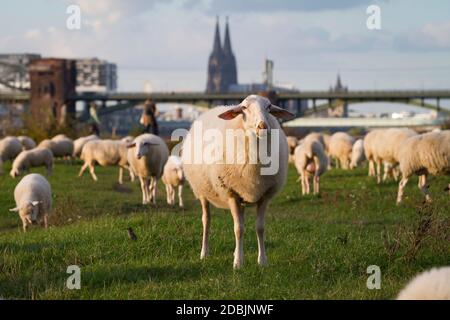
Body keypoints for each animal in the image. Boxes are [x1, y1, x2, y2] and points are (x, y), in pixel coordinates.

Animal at [181, 94, 294, 268]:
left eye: (269, 107)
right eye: (244, 108)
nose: (263, 126)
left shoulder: (264, 196)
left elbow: (260, 228)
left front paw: (262, 261)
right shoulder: (231, 193)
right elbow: (238, 229)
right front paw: (238, 263)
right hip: (202, 192)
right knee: (206, 220)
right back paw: (204, 253)